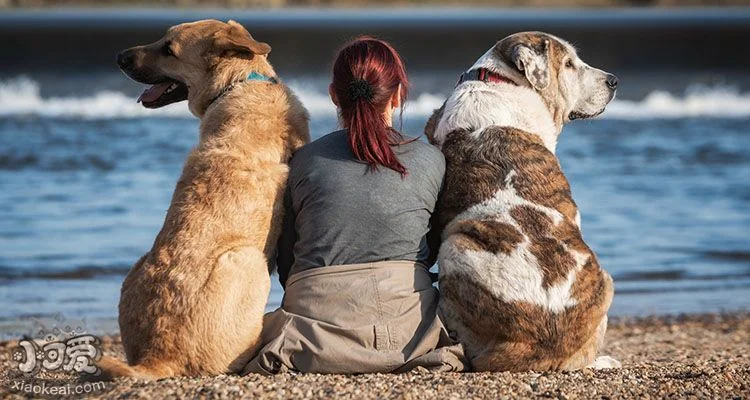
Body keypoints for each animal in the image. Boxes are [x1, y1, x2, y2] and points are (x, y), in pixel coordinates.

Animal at [98, 19, 310, 382]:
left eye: (169, 49)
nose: (118, 57)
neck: (240, 82)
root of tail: (157, 356)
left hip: (138, 264)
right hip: (248, 261)